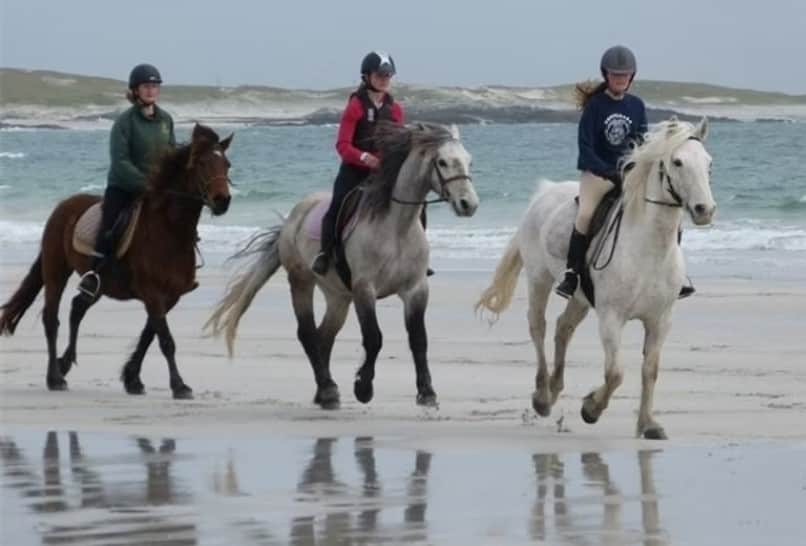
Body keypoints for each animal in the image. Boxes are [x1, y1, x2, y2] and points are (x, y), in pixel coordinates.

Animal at [0, 124, 233, 399]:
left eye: (227, 164)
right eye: (202, 163)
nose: (222, 201)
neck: (169, 230)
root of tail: (62, 207)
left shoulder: (170, 296)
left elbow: (149, 335)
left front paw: (132, 379)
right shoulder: (153, 293)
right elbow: (166, 340)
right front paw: (179, 385)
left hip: (98, 284)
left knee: (78, 307)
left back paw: (65, 363)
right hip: (56, 271)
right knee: (51, 319)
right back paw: (55, 377)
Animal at [204, 121, 479, 409]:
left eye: (468, 160)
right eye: (443, 162)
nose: (468, 204)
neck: (397, 228)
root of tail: (292, 218)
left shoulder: (416, 289)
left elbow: (418, 339)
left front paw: (426, 392)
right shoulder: (364, 288)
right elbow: (373, 338)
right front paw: (363, 388)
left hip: (338, 296)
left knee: (324, 336)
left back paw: (325, 389)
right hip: (301, 281)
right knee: (307, 333)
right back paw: (327, 389)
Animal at [476, 118, 715, 439]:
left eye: (709, 163)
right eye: (677, 162)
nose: (705, 210)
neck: (648, 248)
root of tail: (544, 194)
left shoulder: (660, 320)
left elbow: (649, 370)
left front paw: (648, 424)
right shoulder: (611, 317)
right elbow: (615, 374)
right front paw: (590, 409)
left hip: (579, 297)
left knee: (563, 328)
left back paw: (554, 388)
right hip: (539, 278)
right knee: (538, 326)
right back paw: (542, 397)